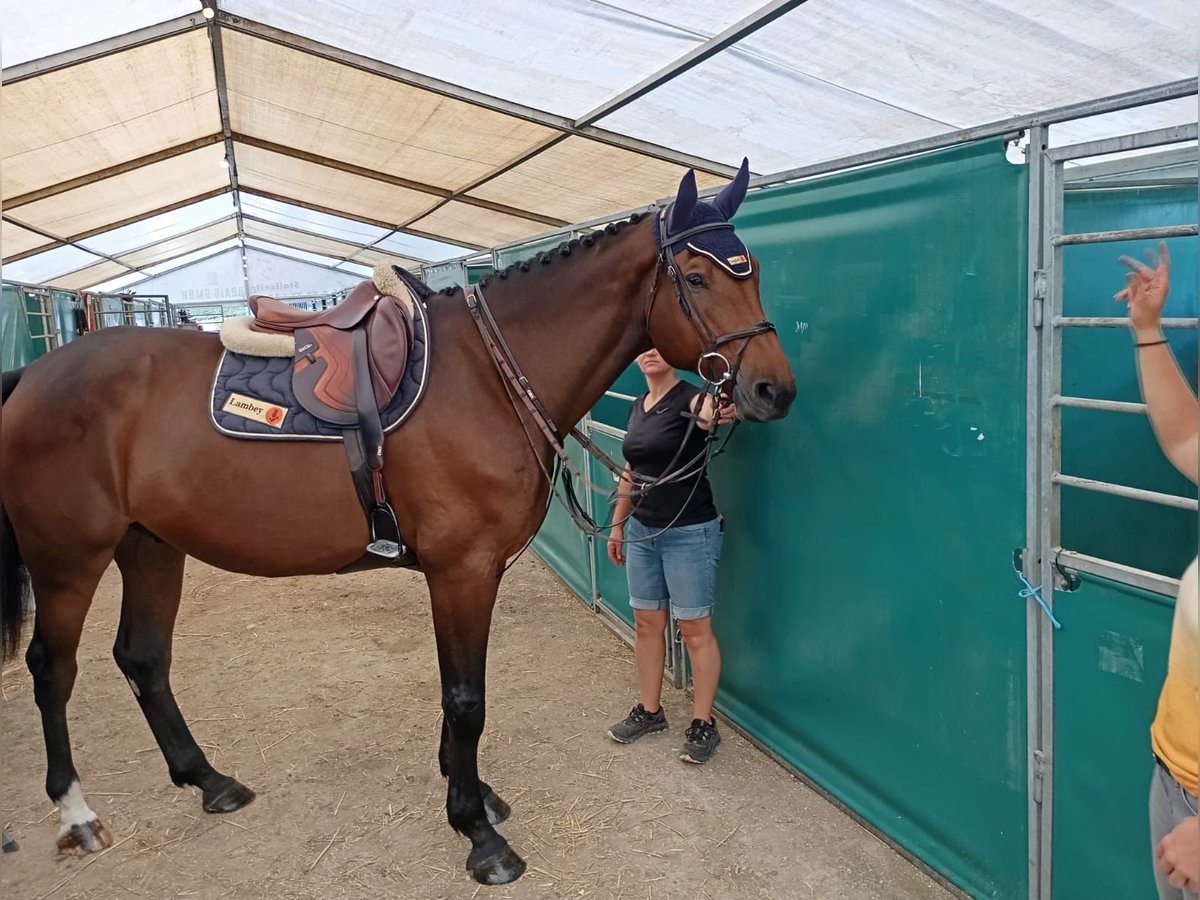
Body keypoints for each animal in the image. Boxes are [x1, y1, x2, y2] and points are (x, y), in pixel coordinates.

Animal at [0, 162, 795, 885]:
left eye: (752, 272)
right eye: (696, 278)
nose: (773, 390)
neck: (486, 375)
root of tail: (32, 376)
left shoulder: (465, 572)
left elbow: (457, 695)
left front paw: (474, 796)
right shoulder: (462, 570)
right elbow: (466, 699)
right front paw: (478, 835)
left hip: (152, 548)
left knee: (143, 658)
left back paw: (210, 781)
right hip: (69, 560)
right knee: (53, 669)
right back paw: (77, 815)